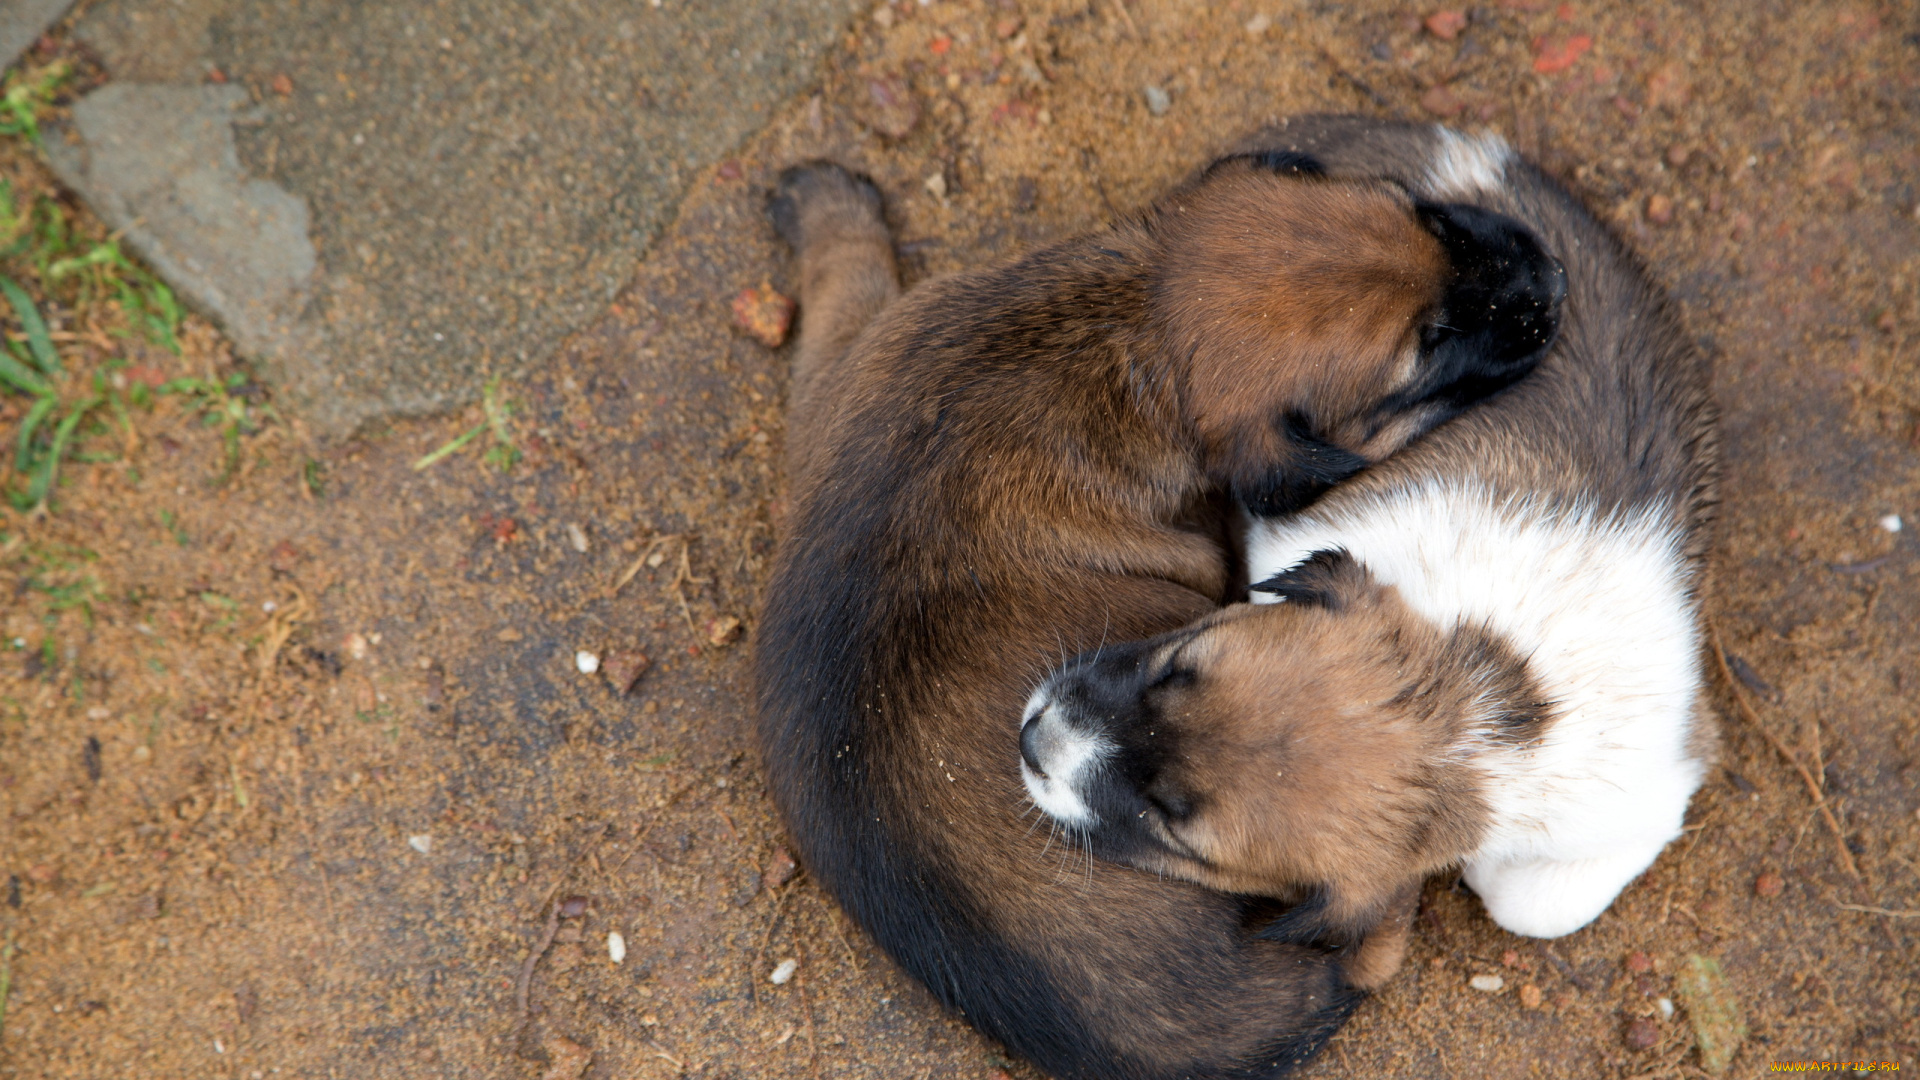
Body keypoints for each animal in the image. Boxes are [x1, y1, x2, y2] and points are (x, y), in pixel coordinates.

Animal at [748, 145, 1559, 1076]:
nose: (1551, 275)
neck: (1132, 325)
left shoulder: (858, 360)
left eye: (1430, 217)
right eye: (1428, 350)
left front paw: (821, 202)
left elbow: (845, 280)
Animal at [1029, 119, 1720, 991]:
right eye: (1174, 668)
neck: (1477, 717)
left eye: (1168, 823)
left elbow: (1530, 903)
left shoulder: (1658, 784)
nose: (1033, 738)